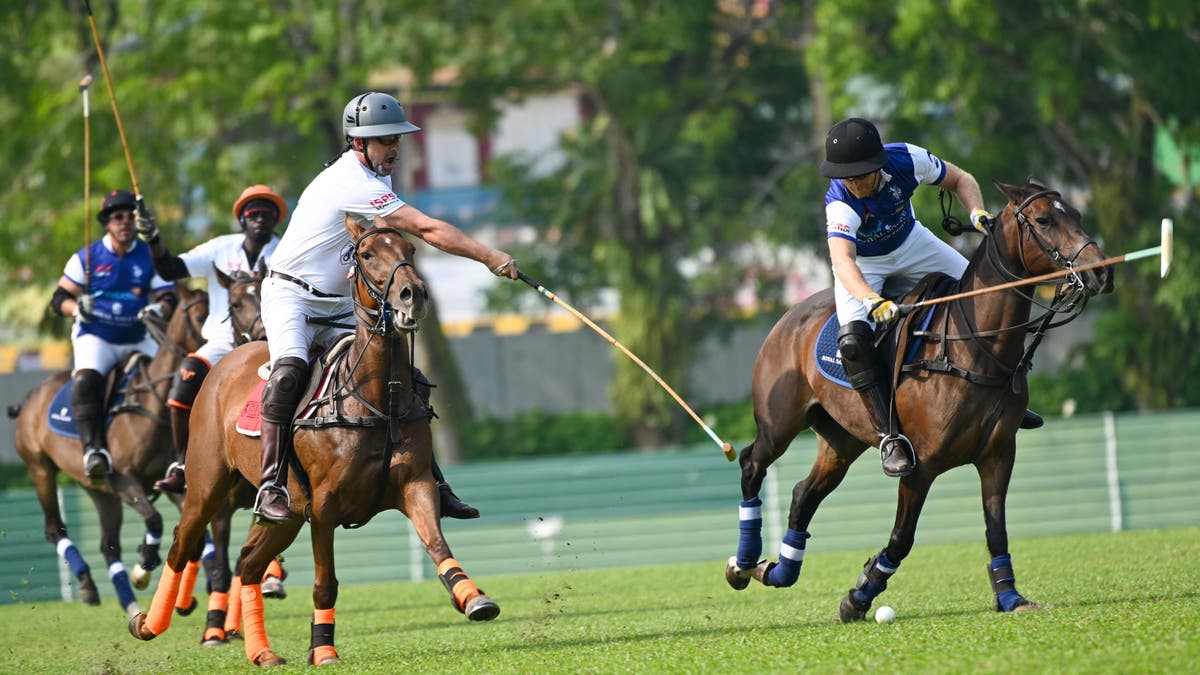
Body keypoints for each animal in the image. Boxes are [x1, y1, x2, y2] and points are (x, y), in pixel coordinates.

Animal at [7, 285, 208, 612]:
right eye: (202, 316)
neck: (152, 404)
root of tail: (30, 397)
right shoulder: (125, 480)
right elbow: (155, 518)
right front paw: (144, 564)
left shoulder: (171, 483)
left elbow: (192, 534)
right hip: (41, 469)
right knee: (55, 529)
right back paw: (89, 586)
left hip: (100, 491)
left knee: (108, 545)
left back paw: (129, 606)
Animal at [132, 214, 501, 662]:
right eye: (366, 254)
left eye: (411, 250)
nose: (413, 296)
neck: (376, 400)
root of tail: (224, 365)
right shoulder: (325, 507)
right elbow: (325, 582)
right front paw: (323, 649)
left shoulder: (416, 484)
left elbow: (437, 544)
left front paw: (472, 597)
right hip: (207, 486)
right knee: (182, 545)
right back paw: (148, 624)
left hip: (287, 513)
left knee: (248, 563)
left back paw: (262, 653)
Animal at [720, 177, 1113, 614]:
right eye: (1044, 220)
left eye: (1076, 214)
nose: (1101, 271)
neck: (974, 348)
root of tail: (786, 317)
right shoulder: (919, 468)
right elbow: (901, 538)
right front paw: (860, 594)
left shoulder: (998, 455)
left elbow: (996, 530)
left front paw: (1010, 596)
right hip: (780, 423)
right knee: (752, 463)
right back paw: (742, 564)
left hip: (842, 439)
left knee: (804, 494)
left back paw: (777, 570)